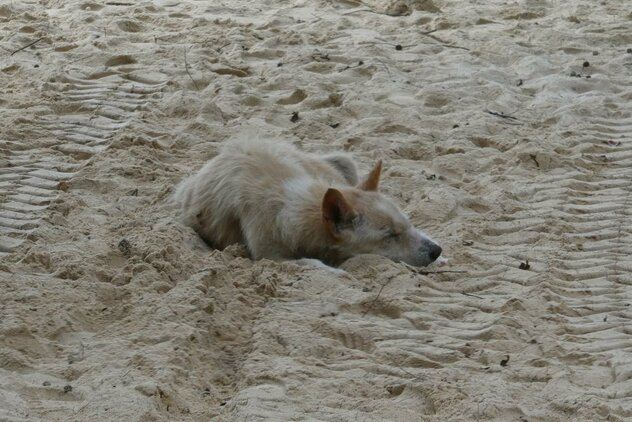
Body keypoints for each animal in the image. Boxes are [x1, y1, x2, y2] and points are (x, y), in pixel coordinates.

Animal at [170, 138, 442, 270]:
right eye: (390, 236)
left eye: (407, 224)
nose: (436, 251)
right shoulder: (269, 257)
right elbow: (313, 263)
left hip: (342, 162)